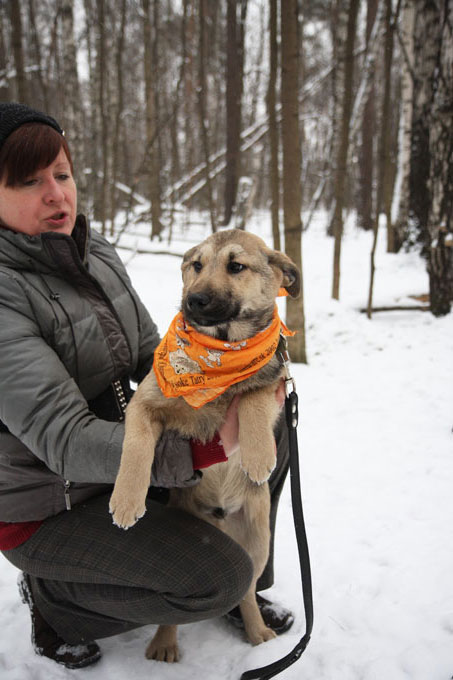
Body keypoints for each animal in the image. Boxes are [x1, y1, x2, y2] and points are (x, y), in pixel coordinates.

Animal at [109, 228, 300, 661]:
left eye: (236, 266)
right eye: (196, 265)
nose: (194, 300)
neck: (219, 353)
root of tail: (220, 520)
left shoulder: (273, 381)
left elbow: (251, 397)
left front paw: (259, 455)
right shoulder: (146, 403)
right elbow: (136, 447)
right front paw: (126, 501)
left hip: (258, 544)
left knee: (246, 590)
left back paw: (258, 632)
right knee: (174, 613)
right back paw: (164, 643)